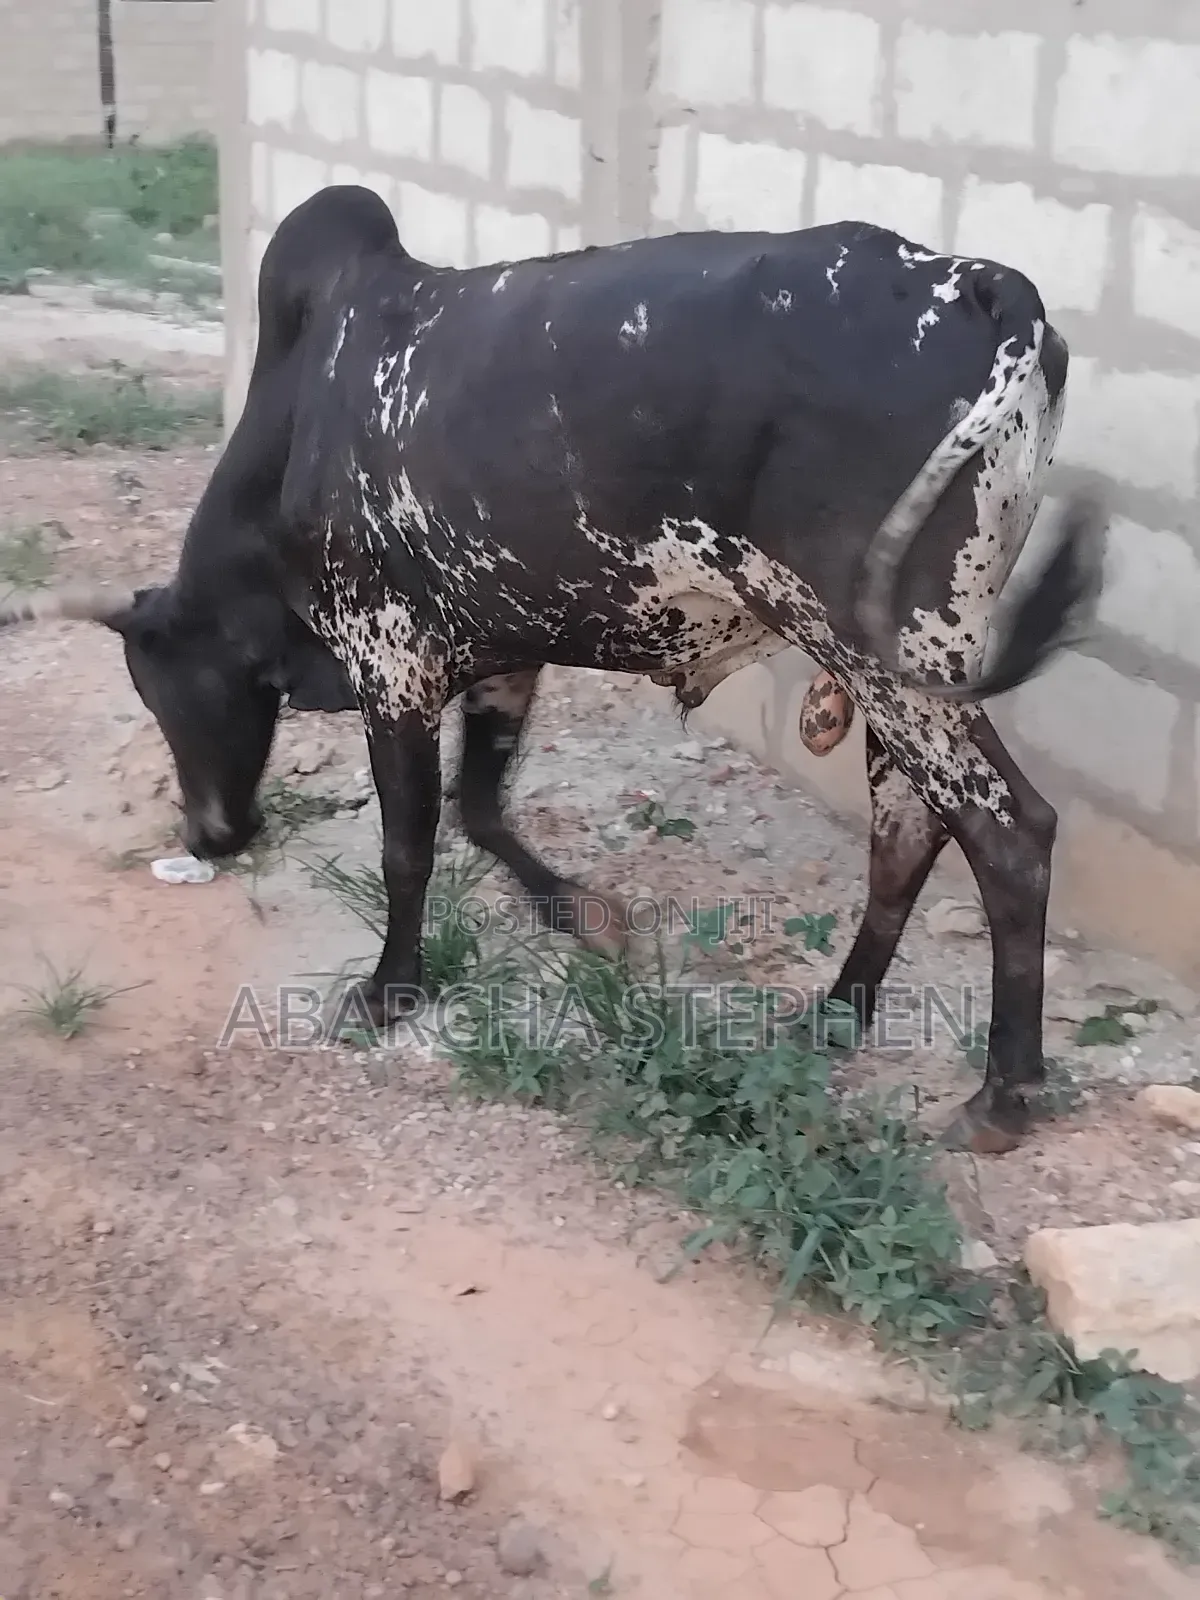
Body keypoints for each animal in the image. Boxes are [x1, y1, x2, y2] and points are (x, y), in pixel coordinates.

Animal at [0, 185, 1104, 1155]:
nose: (208, 835)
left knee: (1009, 834)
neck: (297, 423)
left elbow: (410, 843)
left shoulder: (389, 660)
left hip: (893, 665)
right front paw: (588, 919)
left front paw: (389, 990)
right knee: (907, 830)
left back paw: (1000, 1097)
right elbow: (483, 807)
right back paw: (836, 1016)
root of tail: (989, 288)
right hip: (904, 669)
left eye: (170, 693)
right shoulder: (501, 653)